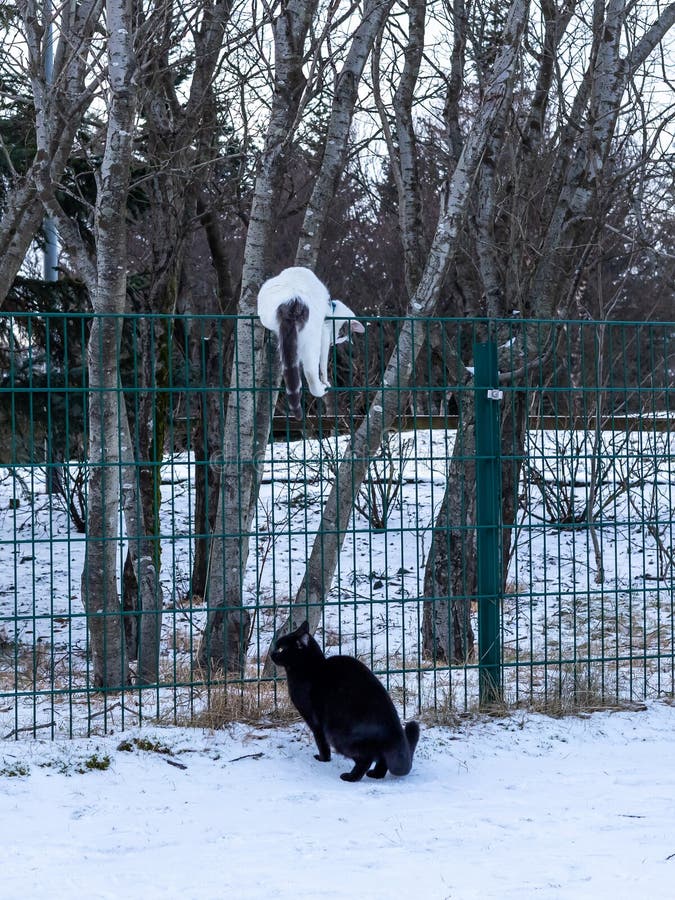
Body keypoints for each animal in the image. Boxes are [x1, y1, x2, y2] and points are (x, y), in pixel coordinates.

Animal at [258, 266, 364, 420]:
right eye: (340, 336)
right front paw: (325, 380)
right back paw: (321, 388)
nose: (333, 343)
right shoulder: (324, 334)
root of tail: (293, 300)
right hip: (312, 338)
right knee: (310, 372)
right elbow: (323, 364)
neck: (332, 309)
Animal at [270, 620, 420, 780]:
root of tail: (394, 734)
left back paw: (350, 777)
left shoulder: (315, 722)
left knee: (365, 759)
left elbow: (321, 742)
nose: (271, 653)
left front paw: (323, 759)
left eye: (281, 648)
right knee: (382, 760)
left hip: (337, 734)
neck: (312, 669)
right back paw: (375, 775)